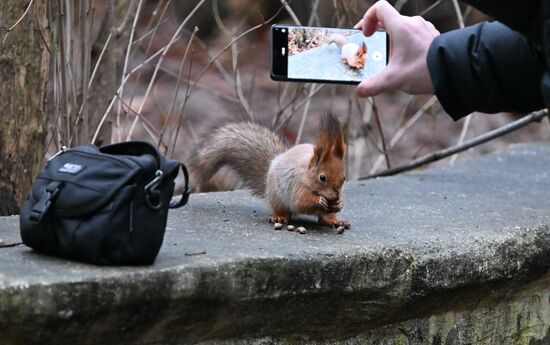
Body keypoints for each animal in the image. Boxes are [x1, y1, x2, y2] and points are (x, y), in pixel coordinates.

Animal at [192, 111, 352, 227]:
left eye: (344, 178)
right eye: (322, 177)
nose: (336, 196)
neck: (306, 174)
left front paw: (339, 203)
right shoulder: (297, 186)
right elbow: (300, 202)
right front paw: (319, 200)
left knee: (324, 218)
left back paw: (335, 221)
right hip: (276, 198)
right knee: (282, 210)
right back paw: (279, 217)